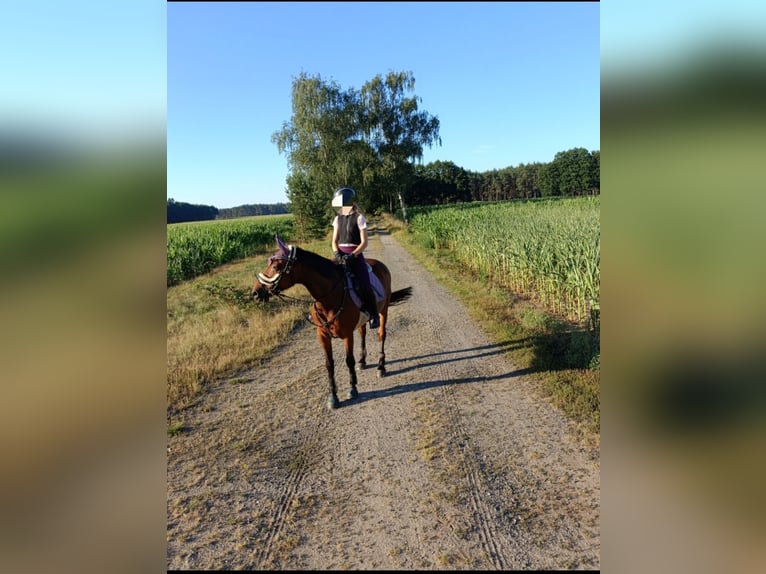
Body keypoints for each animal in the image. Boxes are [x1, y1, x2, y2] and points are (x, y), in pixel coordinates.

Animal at [254, 236, 414, 412]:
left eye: (276, 266)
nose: (256, 293)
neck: (329, 297)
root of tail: (380, 265)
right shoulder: (322, 335)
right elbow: (329, 364)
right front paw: (333, 396)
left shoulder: (347, 334)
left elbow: (348, 360)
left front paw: (353, 389)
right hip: (363, 321)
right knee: (363, 333)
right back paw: (363, 362)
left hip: (383, 311)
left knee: (381, 335)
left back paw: (381, 367)